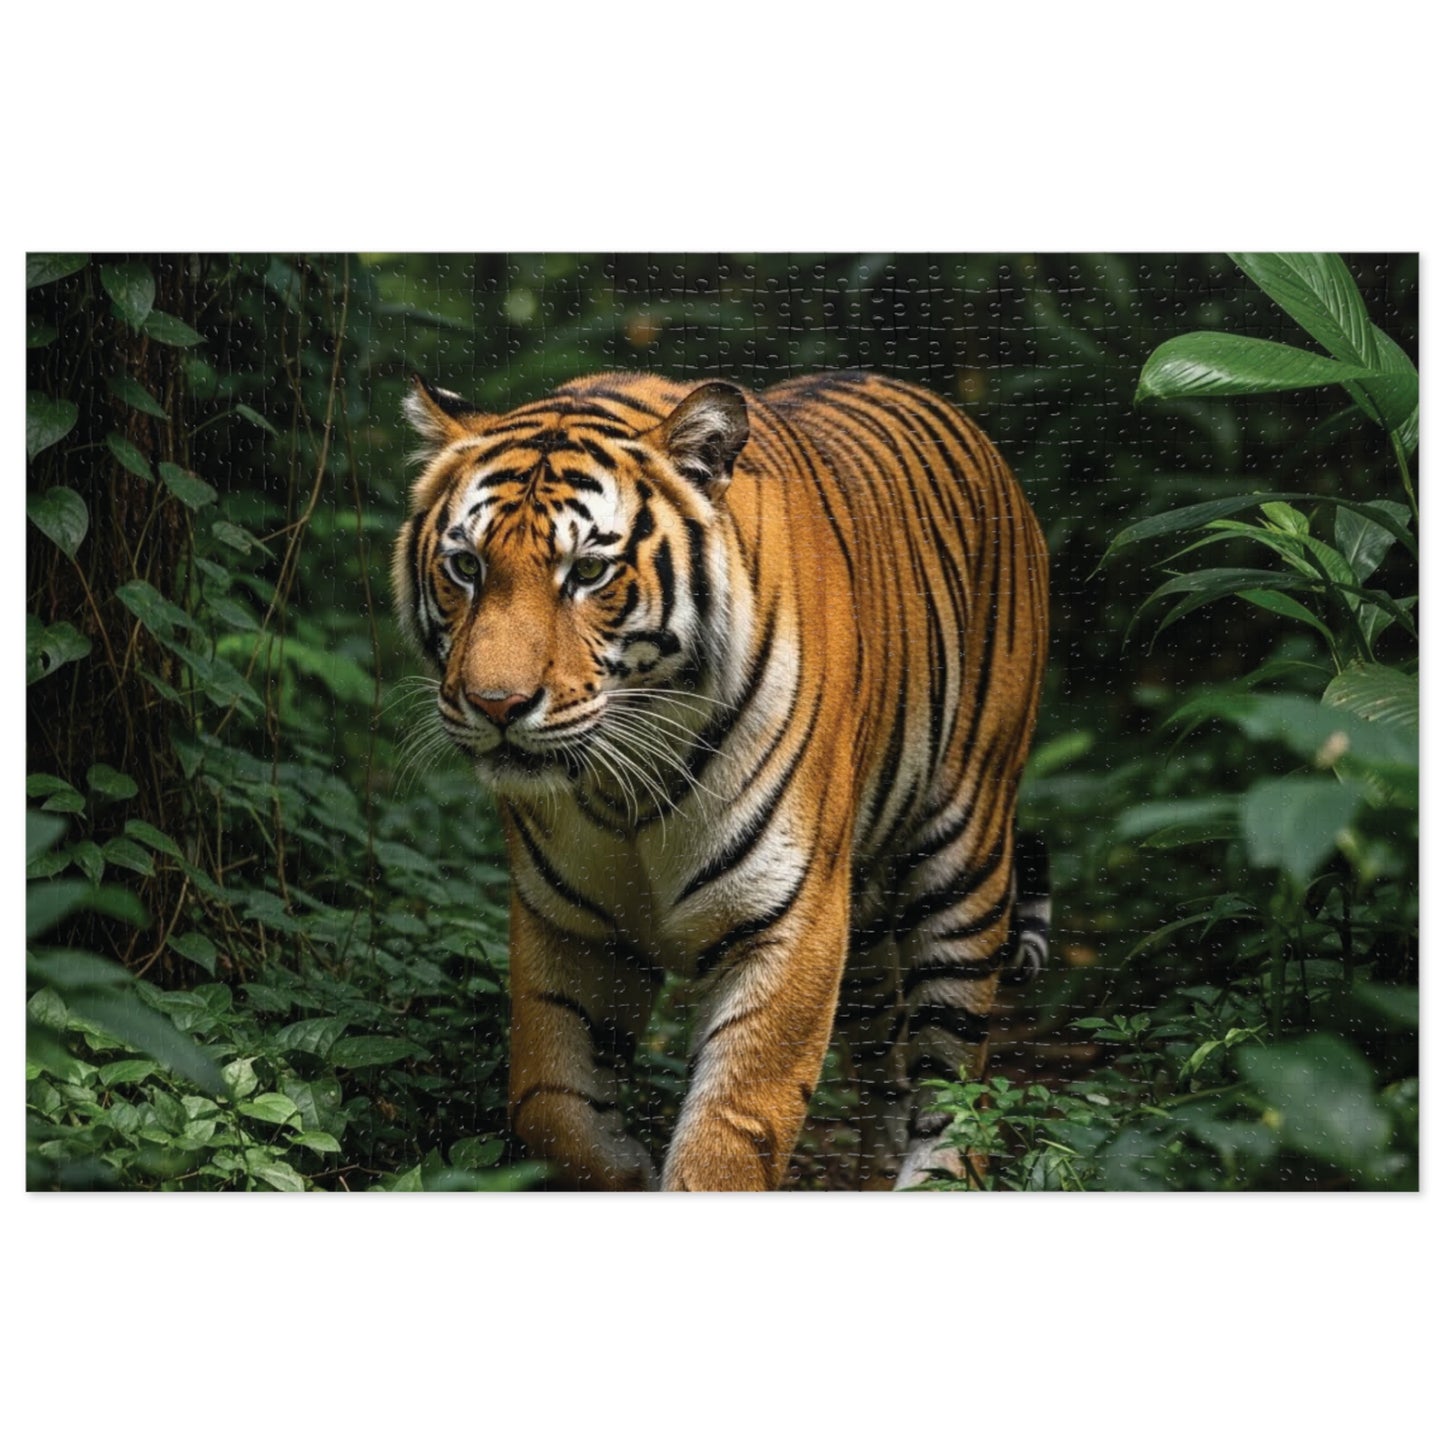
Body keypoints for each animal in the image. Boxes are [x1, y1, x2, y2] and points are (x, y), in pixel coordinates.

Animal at [392, 369, 1049, 1190]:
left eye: (588, 572)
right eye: (466, 567)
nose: (496, 704)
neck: (625, 786)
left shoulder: (788, 920)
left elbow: (730, 1134)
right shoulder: (567, 924)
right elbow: (550, 1106)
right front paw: (627, 1169)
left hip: (963, 863)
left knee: (957, 1086)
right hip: (864, 922)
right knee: (882, 1066)